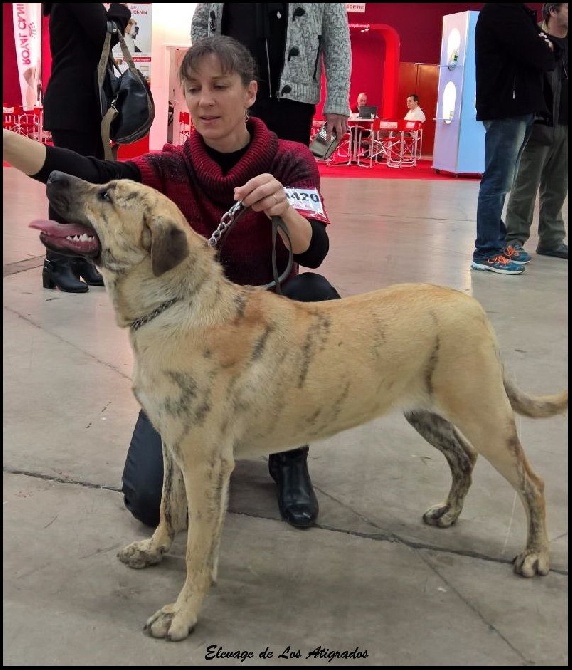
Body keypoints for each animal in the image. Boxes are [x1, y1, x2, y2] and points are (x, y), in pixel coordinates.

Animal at [31, 171, 568, 644]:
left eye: (106, 194)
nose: (53, 173)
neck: (174, 305)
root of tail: (470, 305)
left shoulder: (206, 464)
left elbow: (200, 550)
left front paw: (180, 616)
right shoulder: (173, 446)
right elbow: (167, 506)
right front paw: (153, 550)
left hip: (485, 416)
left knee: (531, 483)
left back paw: (535, 556)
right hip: (427, 413)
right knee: (462, 458)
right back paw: (448, 513)